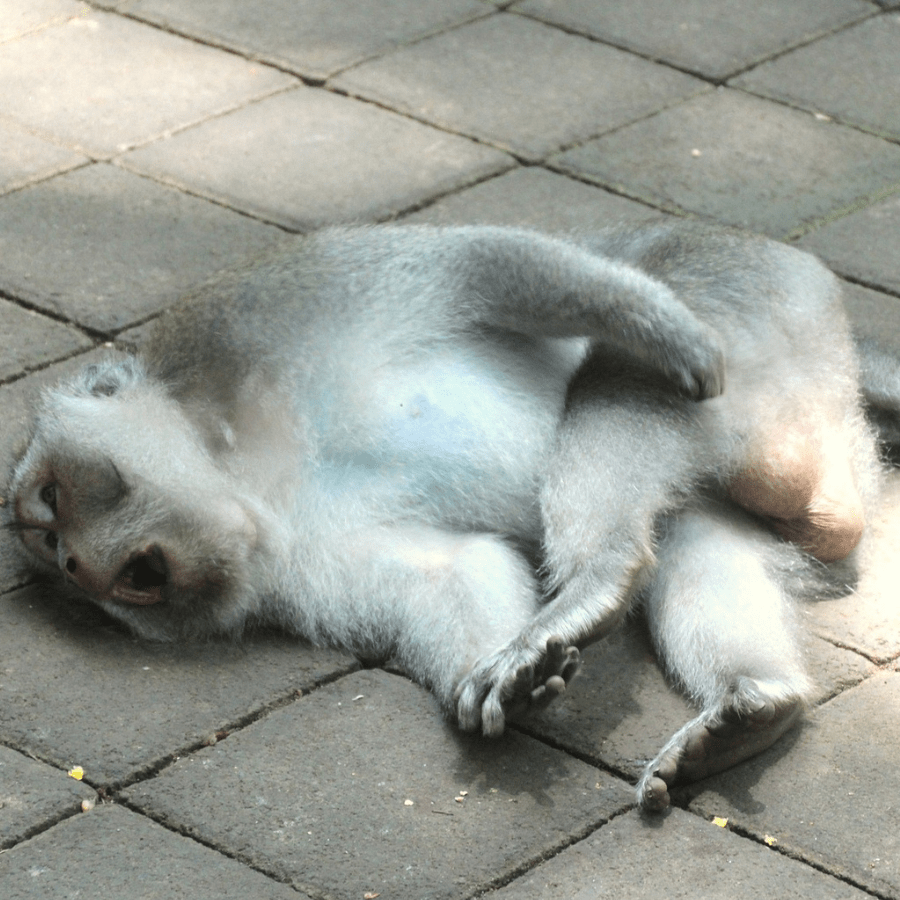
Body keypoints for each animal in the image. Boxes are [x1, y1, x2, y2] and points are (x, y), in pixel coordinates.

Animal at [8, 223, 900, 808]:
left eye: (51, 503)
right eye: (55, 561)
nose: (78, 564)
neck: (246, 473)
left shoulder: (259, 310)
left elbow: (477, 268)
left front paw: (663, 326)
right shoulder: (300, 556)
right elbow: (453, 570)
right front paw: (511, 681)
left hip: (762, 293)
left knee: (619, 370)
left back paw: (602, 571)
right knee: (700, 540)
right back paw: (756, 698)